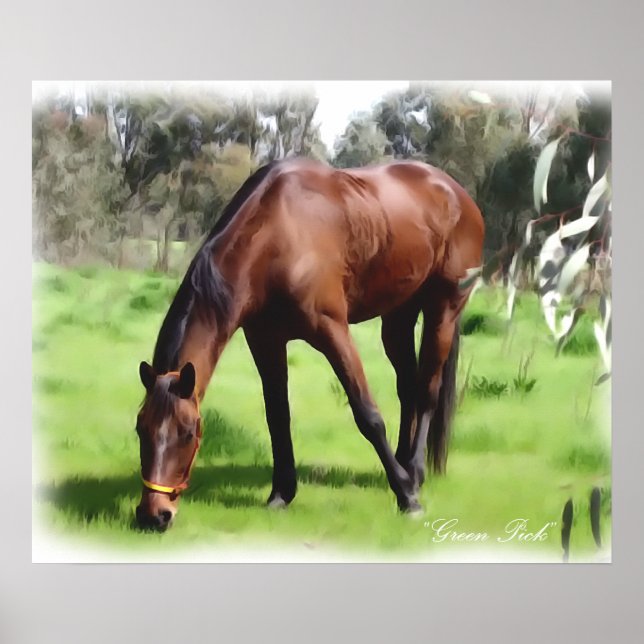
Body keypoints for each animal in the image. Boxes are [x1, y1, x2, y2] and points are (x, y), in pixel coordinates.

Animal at [134, 158, 484, 531]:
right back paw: (403, 465)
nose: (154, 515)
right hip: (398, 317)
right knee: (409, 390)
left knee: (427, 392)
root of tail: (456, 192)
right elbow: (278, 416)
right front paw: (281, 494)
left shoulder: (332, 331)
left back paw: (414, 476)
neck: (276, 234)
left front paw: (407, 499)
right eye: (141, 429)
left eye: (188, 432)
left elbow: (367, 414)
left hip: (443, 310)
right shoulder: (265, 339)